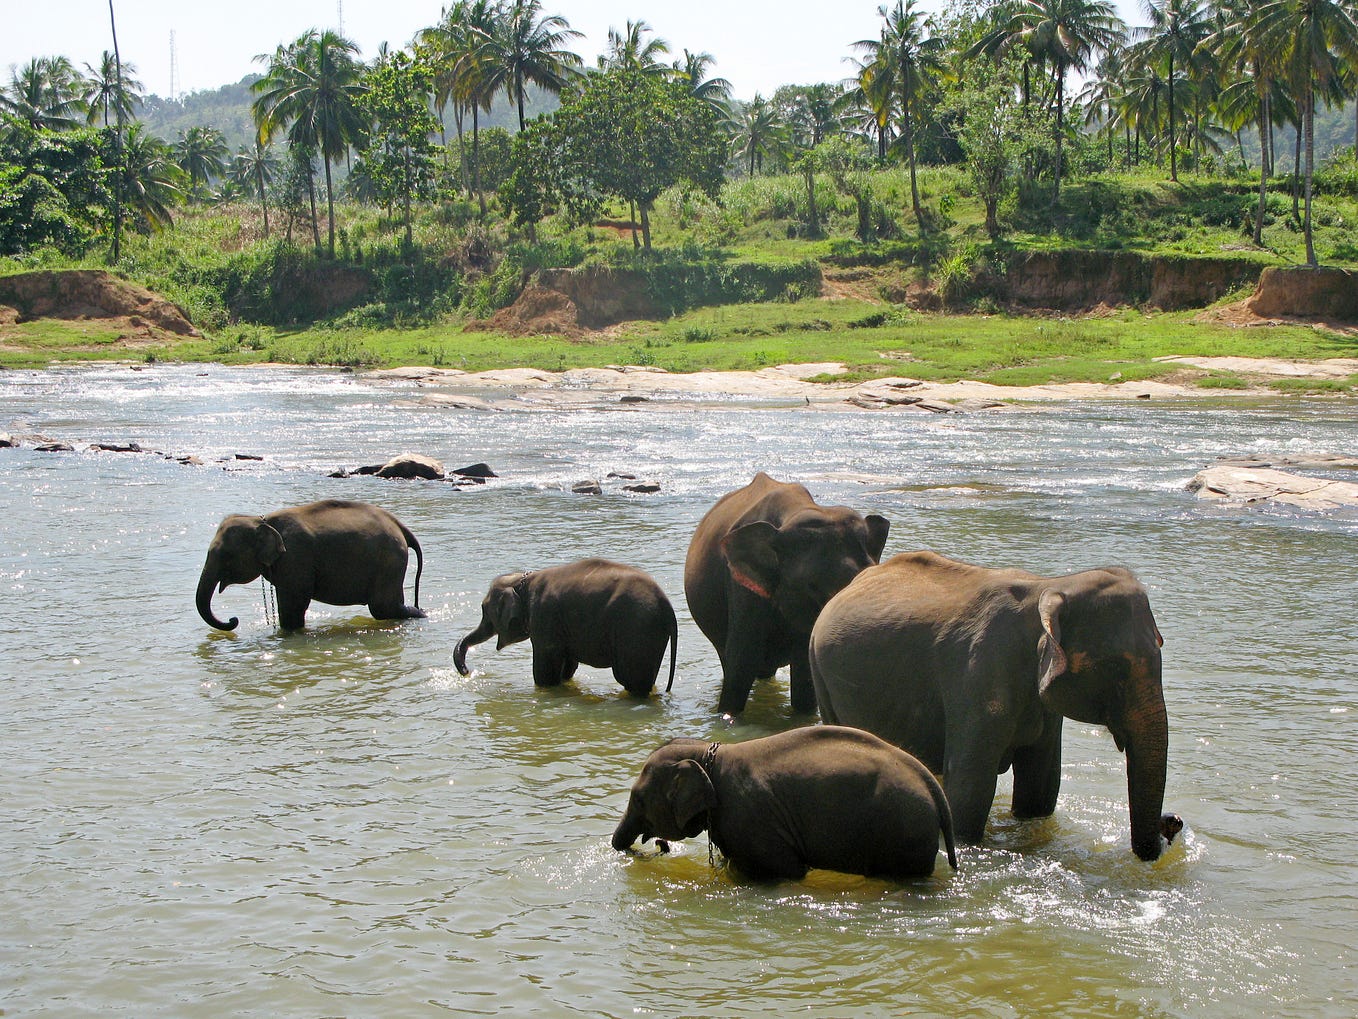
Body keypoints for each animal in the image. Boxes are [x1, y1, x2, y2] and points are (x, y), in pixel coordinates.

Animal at [196, 499, 423, 635]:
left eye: (225, 556)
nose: (233, 620)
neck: (260, 519)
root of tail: (400, 525)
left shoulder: (295, 559)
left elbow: (293, 608)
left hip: (390, 560)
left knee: (382, 607)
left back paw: (419, 615)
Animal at [453, 562, 679, 701]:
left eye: (484, 609)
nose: (466, 671)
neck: (523, 581)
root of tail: (669, 609)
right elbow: (567, 667)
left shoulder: (544, 616)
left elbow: (544, 672)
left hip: (637, 632)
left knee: (632, 681)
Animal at [611, 722, 961, 880]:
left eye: (638, 800)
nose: (659, 846)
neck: (707, 752)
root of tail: (934, 787)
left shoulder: (750, 820)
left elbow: (788, 870)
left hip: (902, 832)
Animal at [803, 551, 1178, 864]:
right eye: (1116, 667)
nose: (1172, 821)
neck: (1050, 585)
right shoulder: (978, 673)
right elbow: (970, 791)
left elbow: (1040, 791)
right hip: (819, 670)